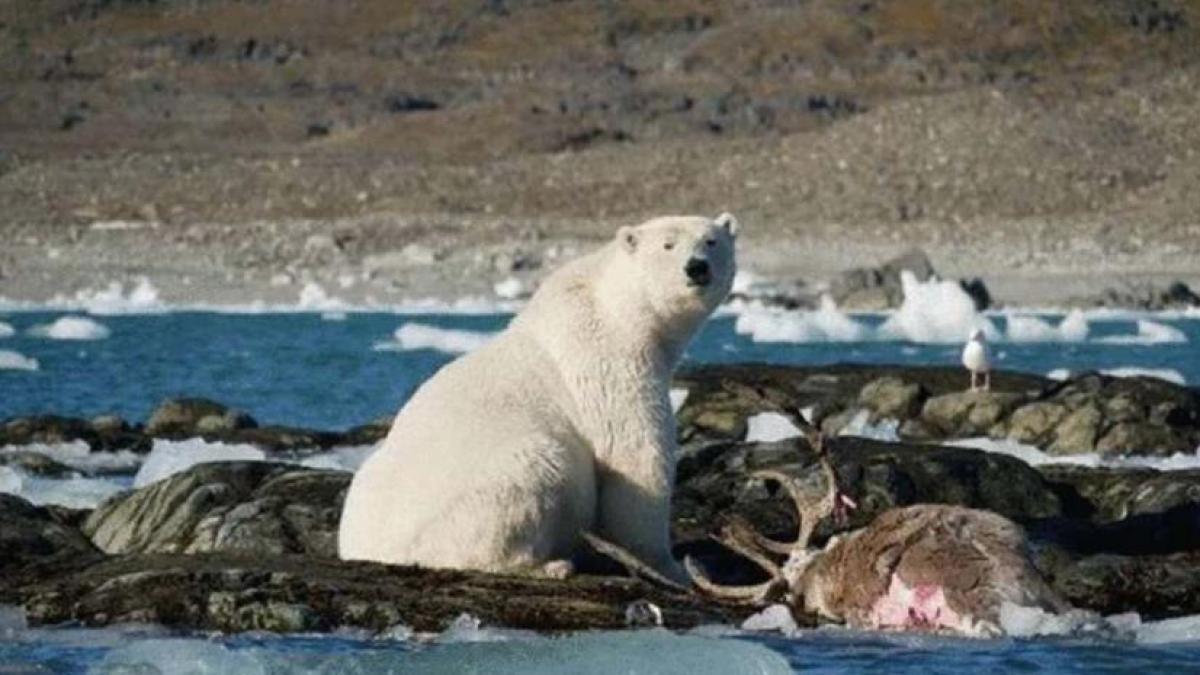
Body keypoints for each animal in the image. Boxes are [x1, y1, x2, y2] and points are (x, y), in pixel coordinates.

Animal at [338, 213, 739, 581]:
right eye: (668, 245)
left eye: (711, 241)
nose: (697, 268)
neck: (615, 309)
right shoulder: (607, 364)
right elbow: (635, 457)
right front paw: (673, 567)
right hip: (492, 484)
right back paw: (549, 565)